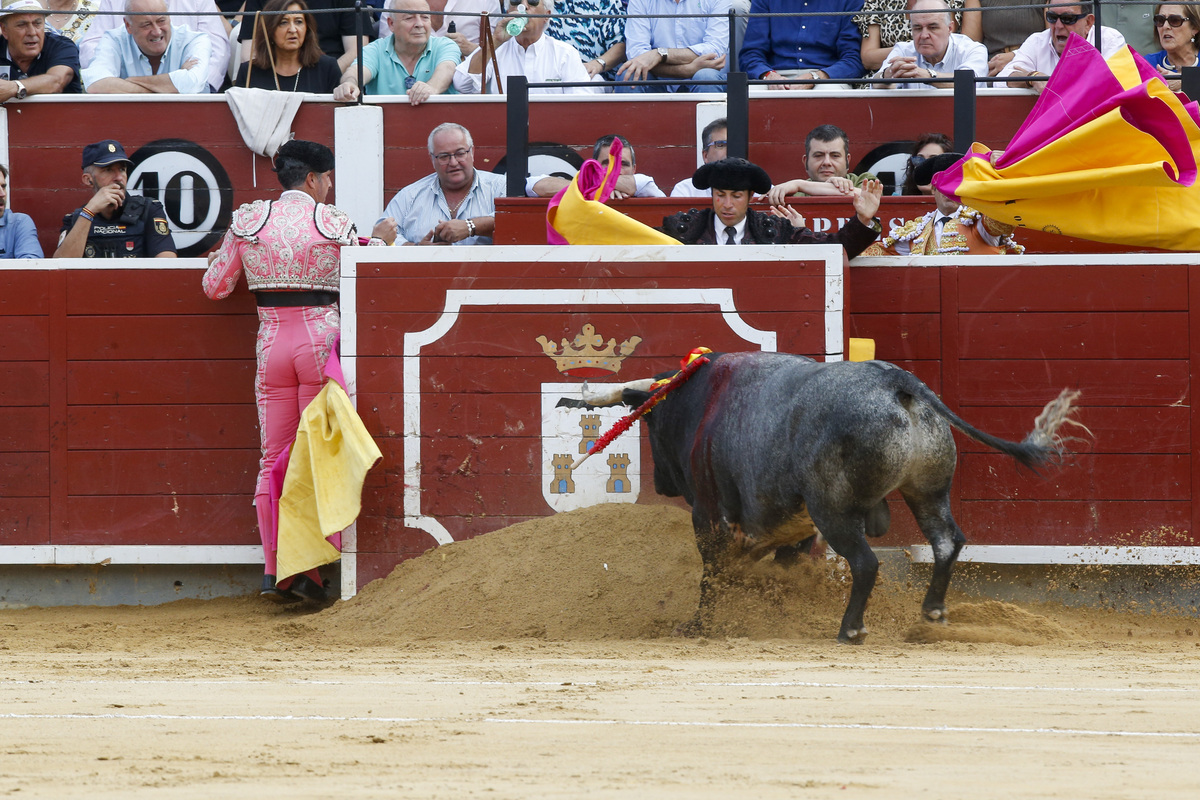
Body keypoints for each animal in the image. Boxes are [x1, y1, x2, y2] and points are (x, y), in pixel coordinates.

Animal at [571, 350, 1080, 642]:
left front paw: (700, 627)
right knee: (945, 542)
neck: (701, 401)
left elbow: (713, 573)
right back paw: (931, 612)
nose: (661, 482)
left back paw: (850, 628)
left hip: (831, 508)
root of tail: (898, 383)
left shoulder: (710, 516)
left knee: (866, 562)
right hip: (928, 488)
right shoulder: (791, 530)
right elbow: (778, 569)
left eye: (650, 422)